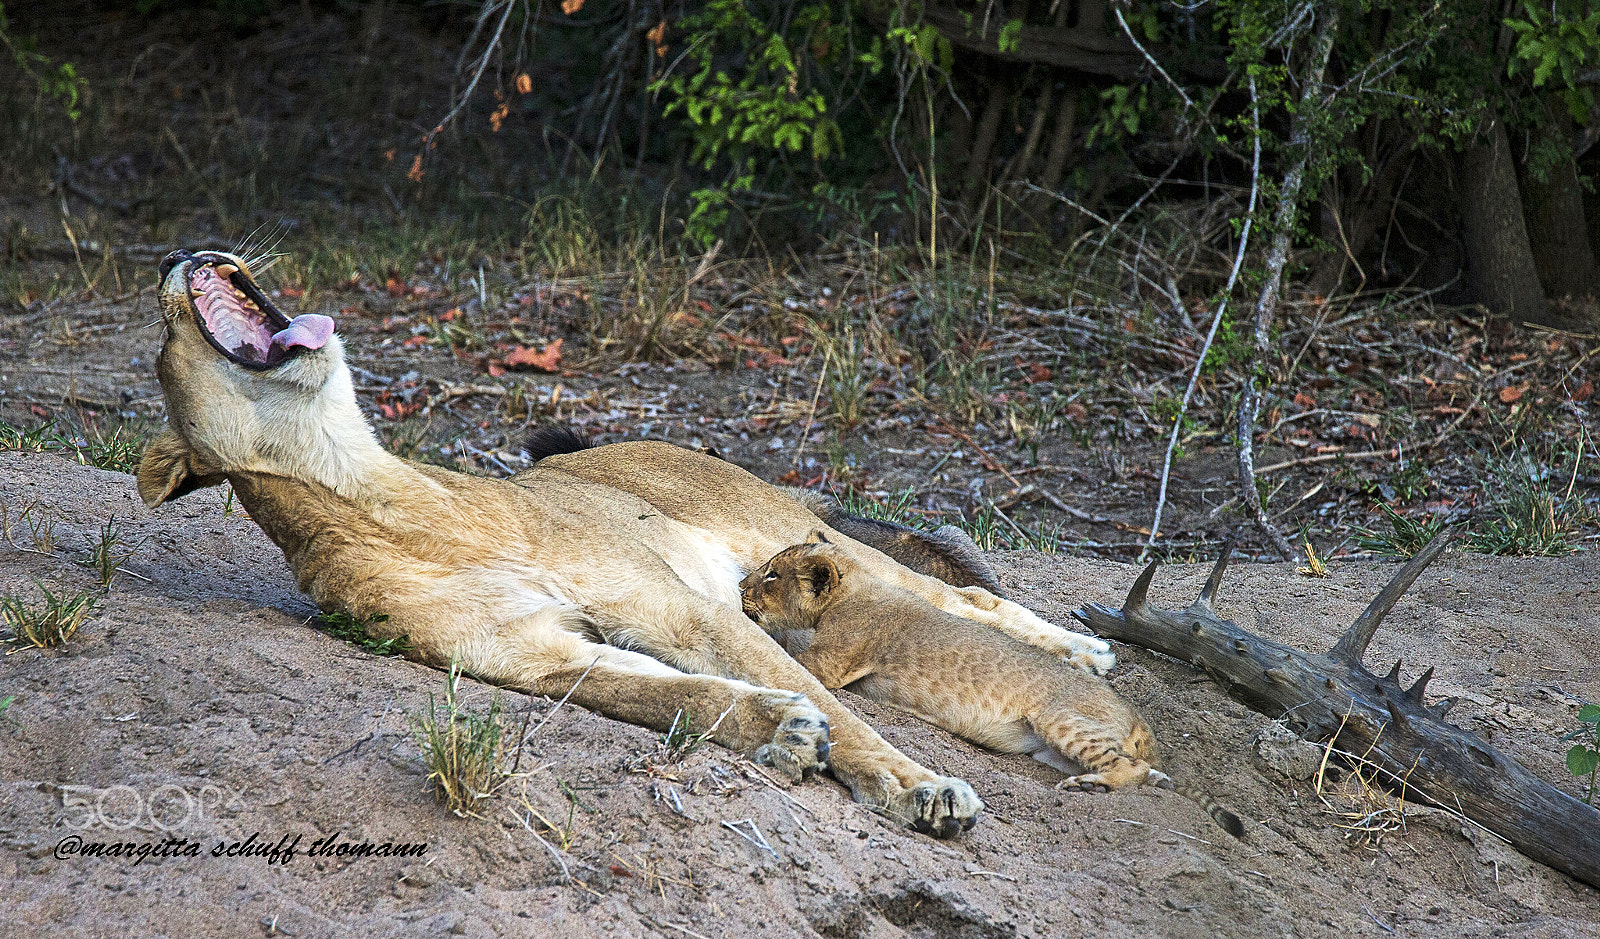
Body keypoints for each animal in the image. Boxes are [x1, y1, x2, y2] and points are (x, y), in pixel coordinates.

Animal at [135, 248, 1116, 837]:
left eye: (154, 337)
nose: (174, 253)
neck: (389, 501)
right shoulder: (542, 660)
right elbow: (678, 697)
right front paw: (780, 733)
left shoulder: (684, 609)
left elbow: (833, 706)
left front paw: (918, 786)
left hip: (795, 532)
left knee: (965, 596)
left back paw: (1086, 650)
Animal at [740, 537, 1245, 837]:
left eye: (771, 575)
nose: (741, 582)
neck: (856, 587)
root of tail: (1139, 715)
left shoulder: (831, 662)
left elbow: (780, 651)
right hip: (1050, 751)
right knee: (1152, 775)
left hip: (1060, 718)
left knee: (1132, 769)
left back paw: (1092, 786)